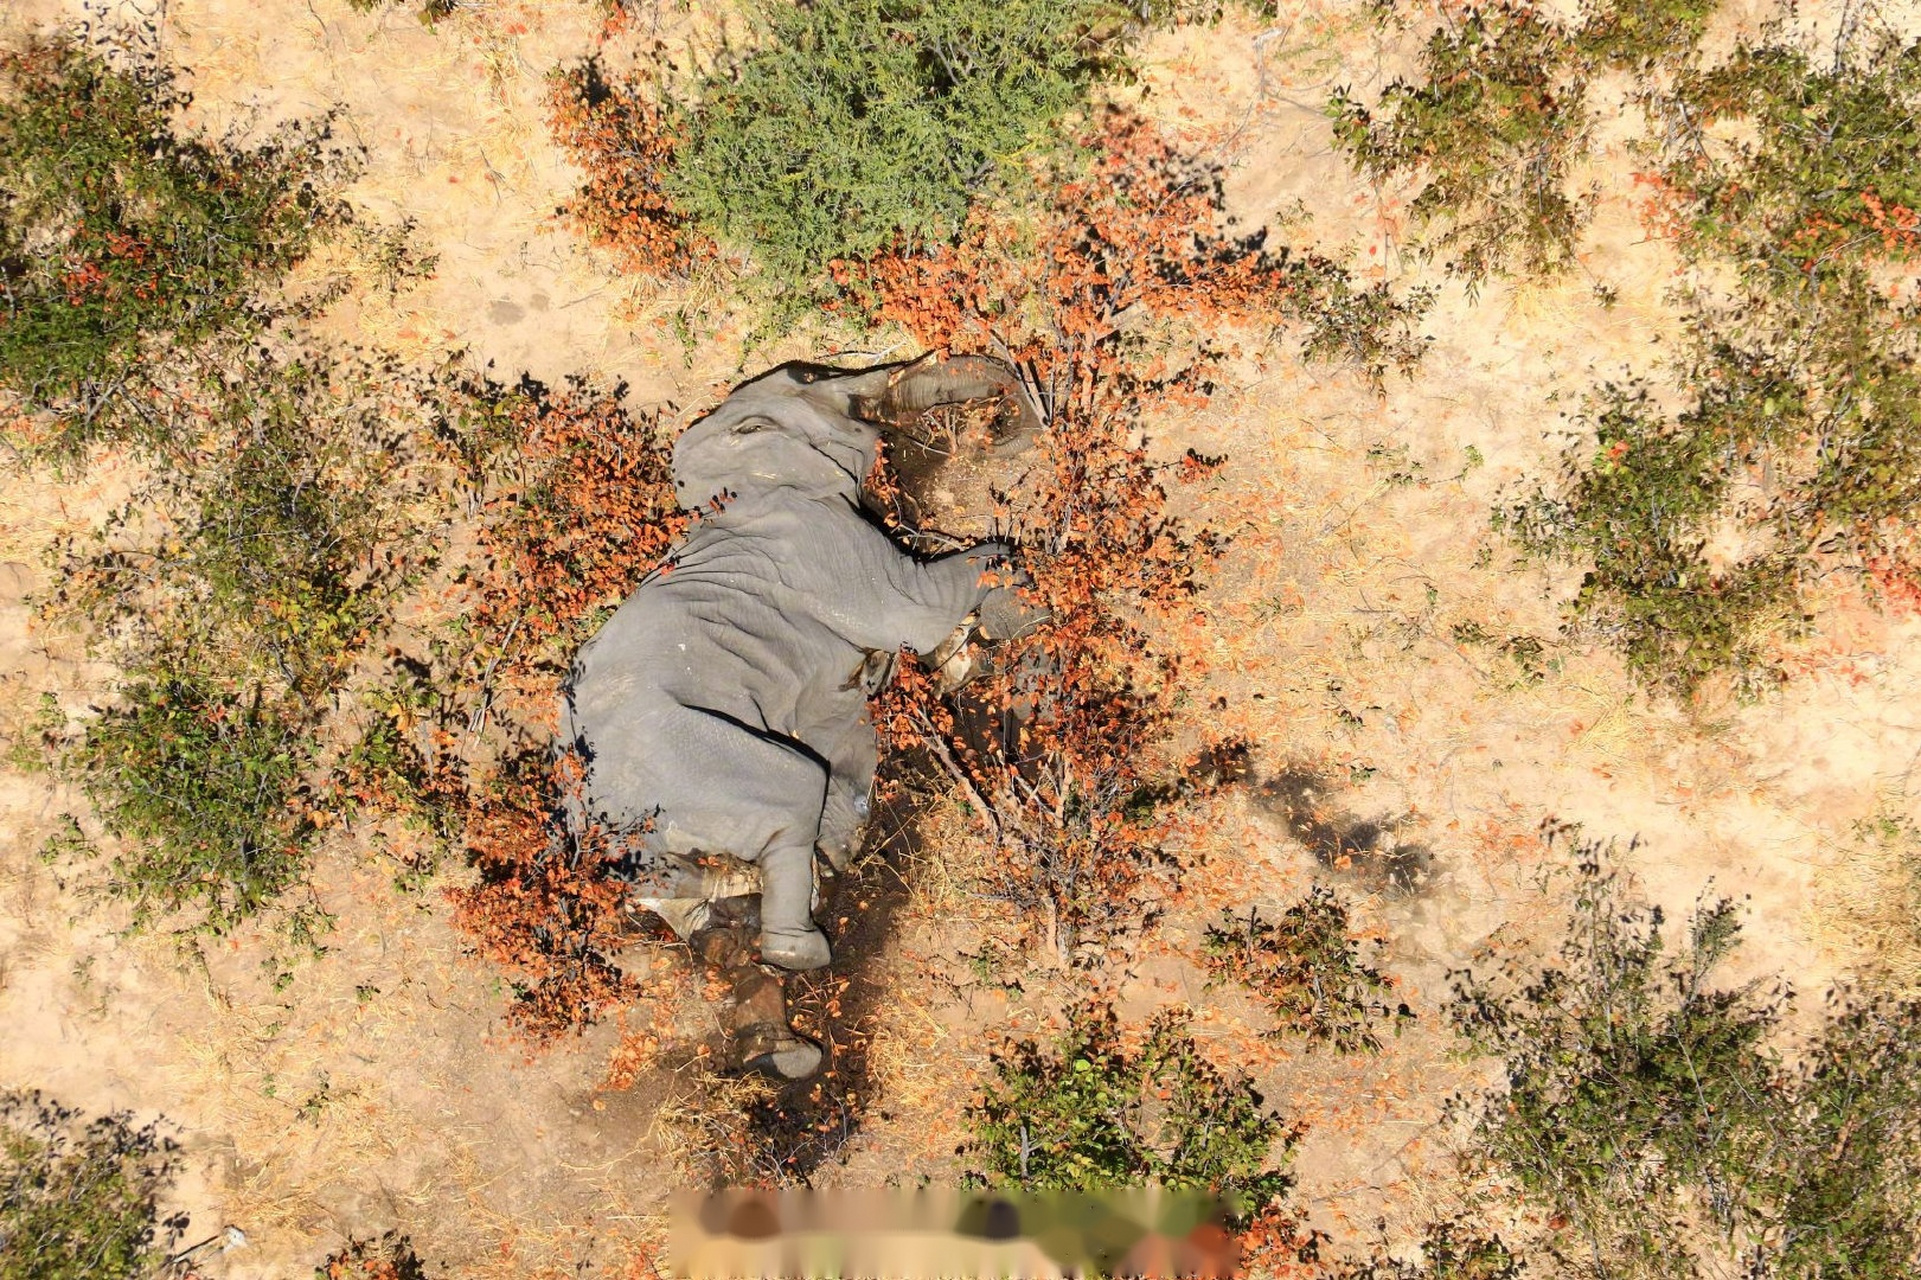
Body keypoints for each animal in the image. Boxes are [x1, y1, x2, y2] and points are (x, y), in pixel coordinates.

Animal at [558, 356, 1040, 1076]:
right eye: (812, 377)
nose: (1001, 426)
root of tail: (590, 817)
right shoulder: (820, 540)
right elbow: (923, 602)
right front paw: (1026, 601)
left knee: (710, 920)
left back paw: (778, 1046)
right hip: (693, 759)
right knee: (790, 795)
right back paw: (800, 948)